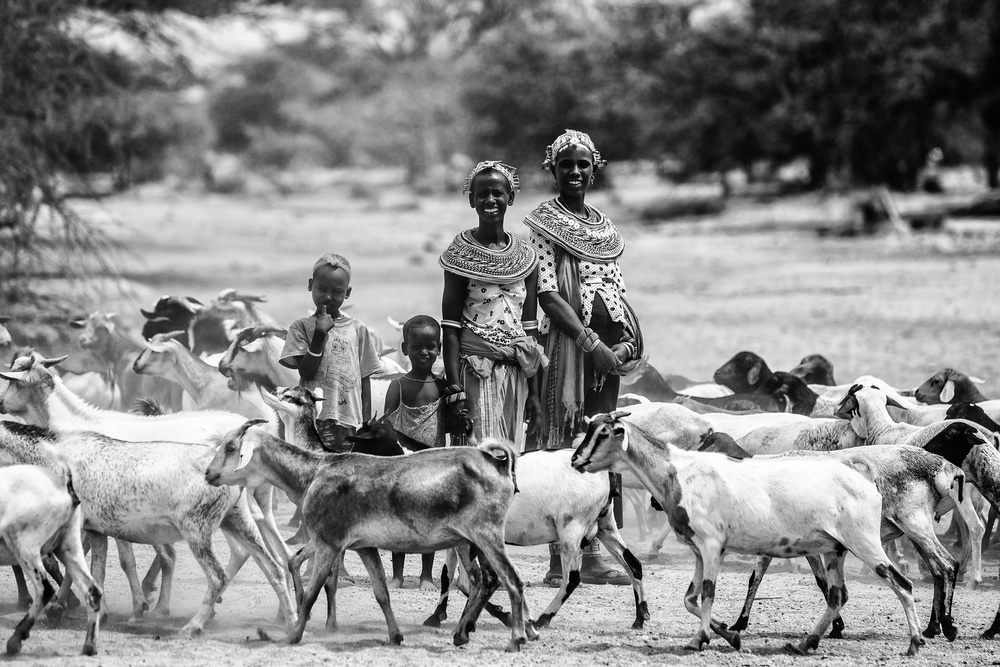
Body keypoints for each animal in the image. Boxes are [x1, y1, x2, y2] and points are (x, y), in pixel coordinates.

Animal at [0, 422, 296, 636]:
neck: (53, 457)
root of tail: (222, 472)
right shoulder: (96, 531)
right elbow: (96, 570)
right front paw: (98, 611)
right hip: (238, 521)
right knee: (275, 570)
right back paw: (292, 624)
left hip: (196, 531)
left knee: (217, 576)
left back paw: (193, 625)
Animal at [0, 462, 103, 656]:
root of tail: (63, 485)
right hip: (68, 546)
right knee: (92, 590)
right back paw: (89, 646)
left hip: (25, 545)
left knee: (45, 589)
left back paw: (16, 639)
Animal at [206, 426, 536, 656]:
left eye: (231, 447)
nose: (209, 473)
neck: (315, 472)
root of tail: (497, 463)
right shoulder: (363, 546)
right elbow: (380, 593)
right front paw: (395, 637)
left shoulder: (328, 542)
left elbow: (314, 591)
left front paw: (294, 635)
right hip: (470, 542)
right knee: (487, 581)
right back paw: (462, 633)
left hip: (486, 535)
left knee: (511, 580)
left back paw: (515, 638)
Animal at [576, 412, 924, 656]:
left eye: (604, 432)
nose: (576, 460)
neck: (679, 473)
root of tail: (863, 476)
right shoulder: (700, 550)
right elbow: (690, 599)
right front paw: (728, 634)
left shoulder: (712, 546)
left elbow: (707, 593)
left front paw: (699, 639)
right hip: (834, 549)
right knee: (838, 595)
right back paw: (805, 644)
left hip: (864, 542)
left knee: (902, 585)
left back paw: (915, 642)